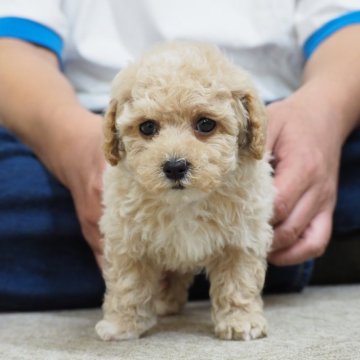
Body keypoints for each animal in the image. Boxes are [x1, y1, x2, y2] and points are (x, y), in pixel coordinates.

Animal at [94, 42, 274, 340]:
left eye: (205, 124)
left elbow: (238, 281)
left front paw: (240, 321)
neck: (185, 202)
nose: (175, 166)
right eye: (147, 127)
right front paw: (122, 324)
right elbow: (128, 285)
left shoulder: (242, 236)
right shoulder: (128, 239)